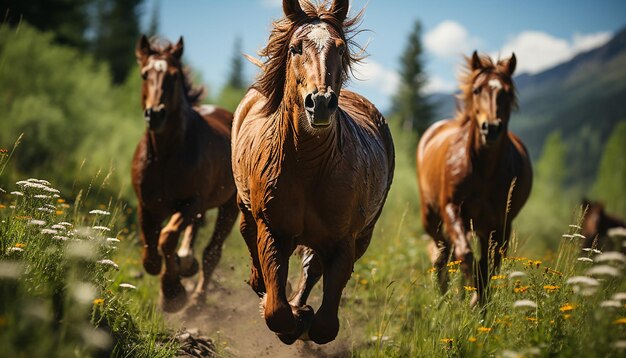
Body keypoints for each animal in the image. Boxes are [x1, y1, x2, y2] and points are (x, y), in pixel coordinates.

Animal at [132, 35, 239, 312]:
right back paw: (186, 262)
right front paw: (172, 275)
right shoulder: (146, 205)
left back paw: (195, 300)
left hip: (230, 207)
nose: (155, 114)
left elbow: (167, 238)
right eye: (144, 74)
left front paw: (172, 293)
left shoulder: (191, 202)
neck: (165, 157)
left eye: (174, 76)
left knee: (212, 253)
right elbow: (150, 253)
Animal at [232, 0, 392, 346]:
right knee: (248, 234)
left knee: (312, 268)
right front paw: (288, 316)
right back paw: (261, 284)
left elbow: (325, 325)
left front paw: (302, 317)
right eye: (295, 48)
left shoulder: (345, 240)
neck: (306, 166)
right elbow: (276, 311)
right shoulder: (273, 230)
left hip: (360, 236)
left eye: (341, 48)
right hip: (245, 205)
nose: (320, 103)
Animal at [416, 51, 528, 306]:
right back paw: (443, 296)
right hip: (432, 217)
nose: (492, 128)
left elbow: (490, 265)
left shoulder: (501, 223)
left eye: (507, 92)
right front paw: (473, 297)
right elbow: (465, 255)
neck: (482, 170)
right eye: (477, 90)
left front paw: (479, 300)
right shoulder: (452, 209)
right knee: (442, 254)